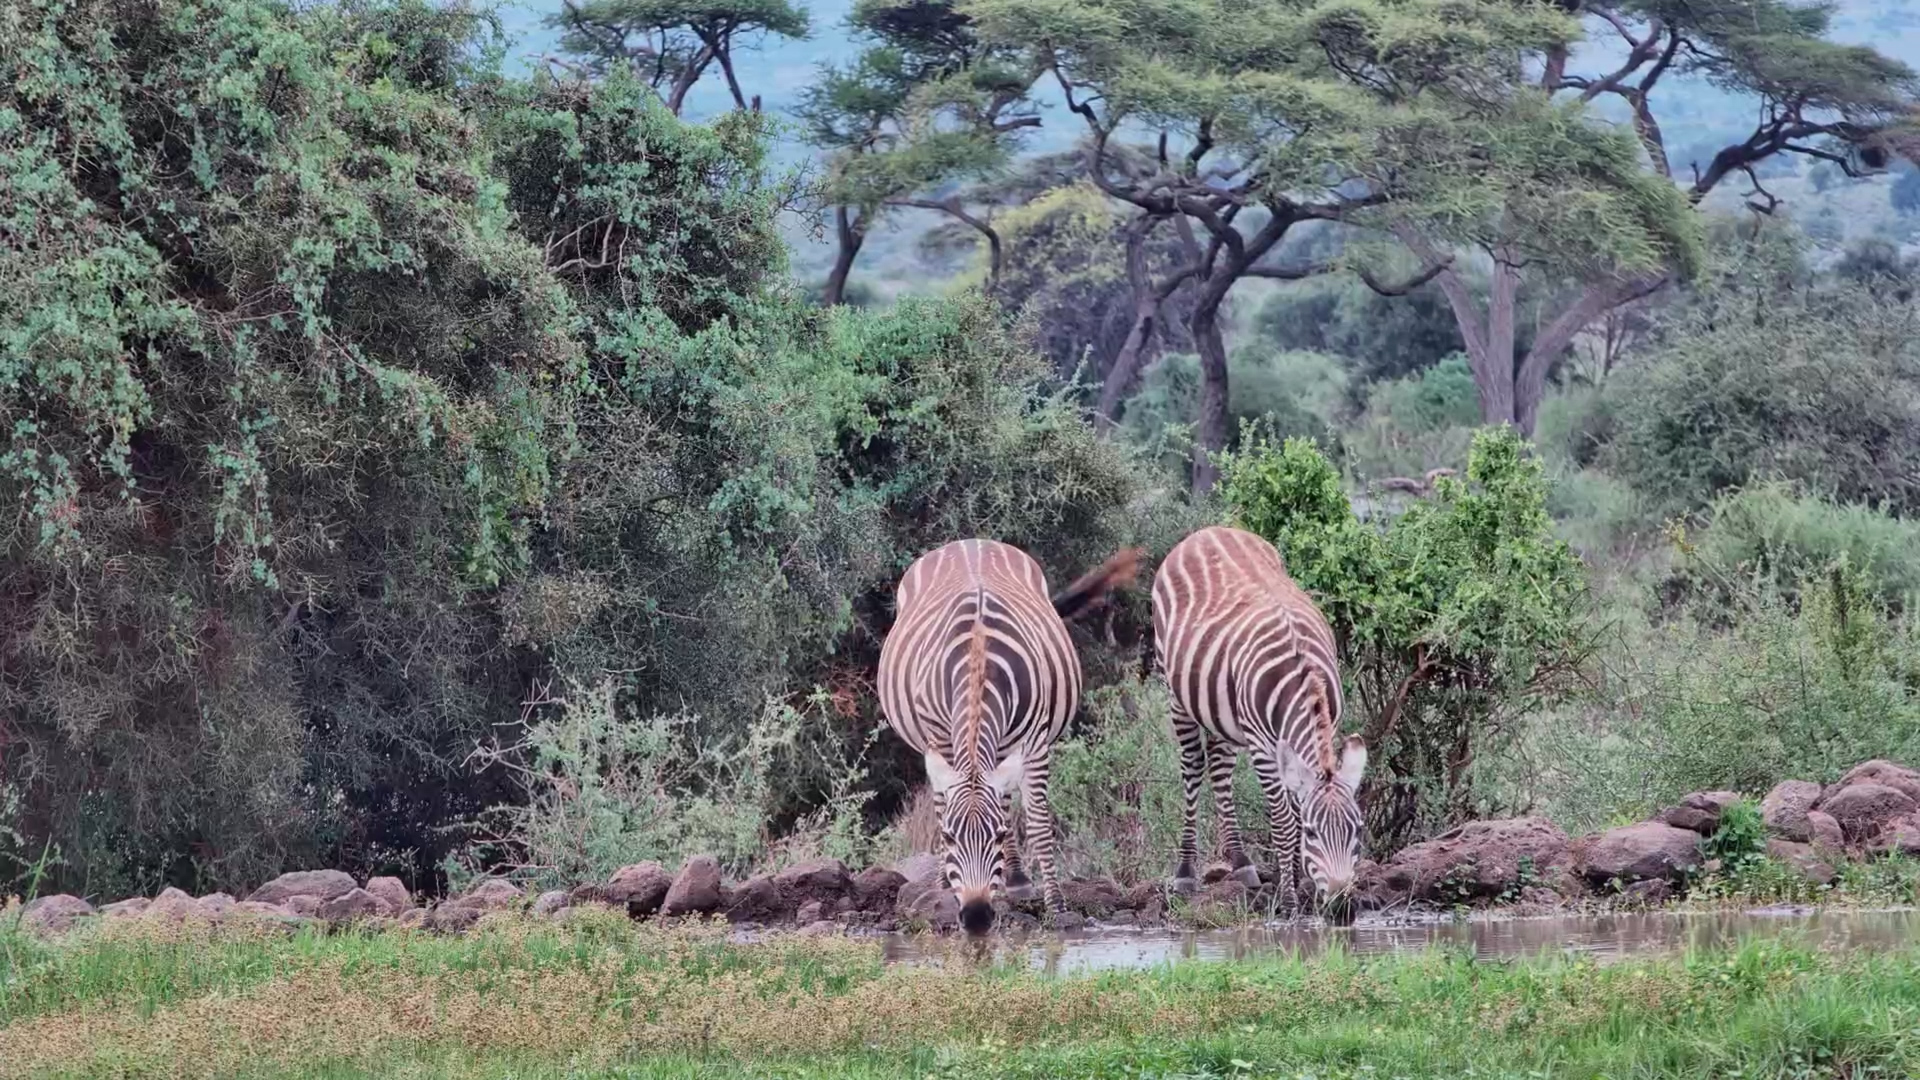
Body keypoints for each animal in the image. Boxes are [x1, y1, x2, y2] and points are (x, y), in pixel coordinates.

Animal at [878, 539, 1140, 935]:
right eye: (951, 838)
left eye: (999, 836)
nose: (976, 918)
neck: (977, 660)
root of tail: (970, 541)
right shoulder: (941, 740)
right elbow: (941, 810)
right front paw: (945, 891)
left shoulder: (1034, 743)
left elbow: (1038, 821)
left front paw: (1056, 905)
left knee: (1005, 800)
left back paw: (1015, 880)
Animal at [1151, 525, 1367, 917]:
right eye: (1313, 833)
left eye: (1358, 830)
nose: (1342, 909)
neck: (1303, 678)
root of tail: (1208, 531)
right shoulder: (1263, 747)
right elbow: (1283, 822)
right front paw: (1290, 899)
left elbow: (1294, 807)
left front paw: (1297, 879)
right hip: (1175, 693)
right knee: (1193, 767)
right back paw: (1186, 872)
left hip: (1220, 708)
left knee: (1219, 767)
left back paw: (1241, 862)